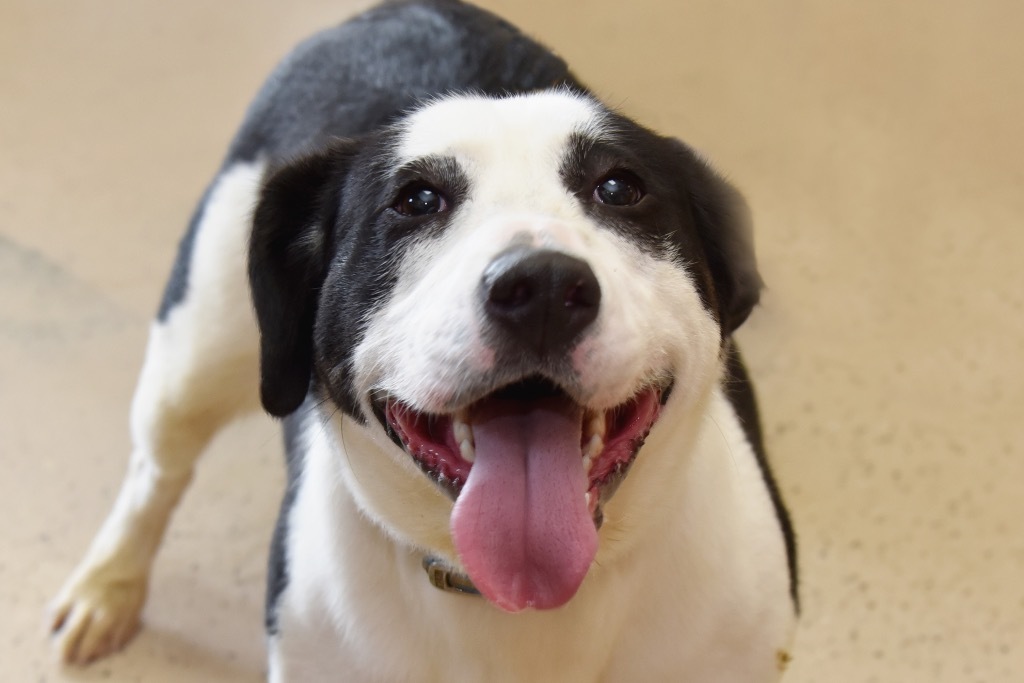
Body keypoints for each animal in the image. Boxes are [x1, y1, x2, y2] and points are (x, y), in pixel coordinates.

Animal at [46, 1, 798, 679]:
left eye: (619, 188)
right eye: (415, 200)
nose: (542, 286)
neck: (512, 599)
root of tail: (406, 8)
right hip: (194, 353)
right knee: (156, 470)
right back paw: (108, 586)